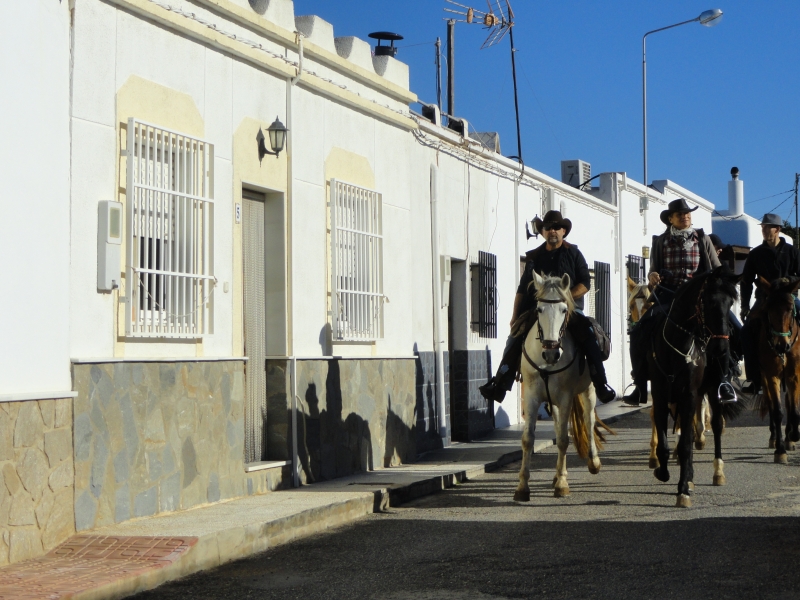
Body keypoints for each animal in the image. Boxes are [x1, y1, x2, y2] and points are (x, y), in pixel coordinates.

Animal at [512, 272, 608, 502]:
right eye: (539, 309)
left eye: (564, 310)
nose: (551, 354)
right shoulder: (531, 396)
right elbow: (528, 439)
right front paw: (522, 487)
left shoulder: (565, 397)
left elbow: (564, 439)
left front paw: (562, 484)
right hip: (554, 401)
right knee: (558, 425)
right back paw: (556, 474)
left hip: (588, 391)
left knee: (588, 420)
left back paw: (593, 462)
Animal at [648, 268, 740, 506]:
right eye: (708, 301)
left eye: (731, 303)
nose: (721, 348)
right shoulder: (661, 395)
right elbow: (667, 442)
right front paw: (664, 472)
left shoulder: (688, 395)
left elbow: (685, 444)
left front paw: (682, 490)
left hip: (714, 389)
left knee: (716, 425)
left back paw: (717, 472)